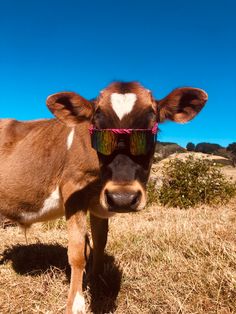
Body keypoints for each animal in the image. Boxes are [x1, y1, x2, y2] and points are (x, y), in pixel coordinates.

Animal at [0, 82, 207, 312]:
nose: (123, 198)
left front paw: (96, 282)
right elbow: (78, 251)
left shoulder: (100, 203)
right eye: (97, 130)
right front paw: (76, 303)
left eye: (150, 129)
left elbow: (100, 243)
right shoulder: (73, 191)